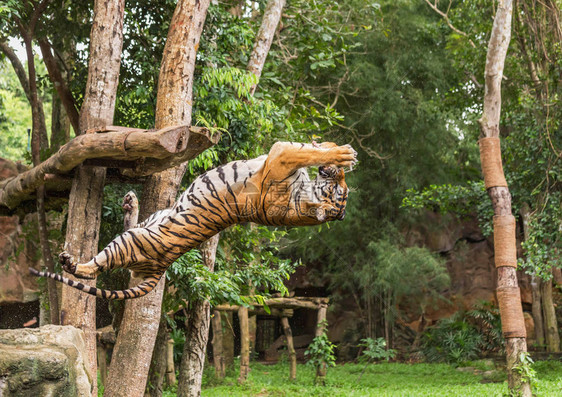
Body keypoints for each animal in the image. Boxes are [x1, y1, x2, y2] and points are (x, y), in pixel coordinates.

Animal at [29, 141, 354, 298]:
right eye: (342, 188)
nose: (336, 175)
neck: (300, 202)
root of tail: (160, 269)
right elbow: (310, 151)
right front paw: (339, 152)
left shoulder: (279, 157)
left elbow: (302, 153)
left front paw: (339, 154)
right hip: (152, 221)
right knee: (131, 223)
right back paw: (130, 202)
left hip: (130, 241)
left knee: (93, 268)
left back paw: (72, 263)